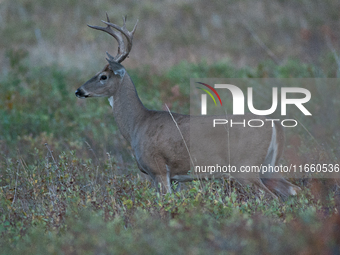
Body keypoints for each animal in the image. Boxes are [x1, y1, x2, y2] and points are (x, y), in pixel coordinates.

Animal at [75, 14, 300, 200]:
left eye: (103, 76)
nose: (79, 90)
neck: (137, 124)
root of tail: (275, 124)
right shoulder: (173, 177)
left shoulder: (158, 169)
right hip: (268, 166)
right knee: (293, 190)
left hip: (247, 167)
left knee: (272, 196)